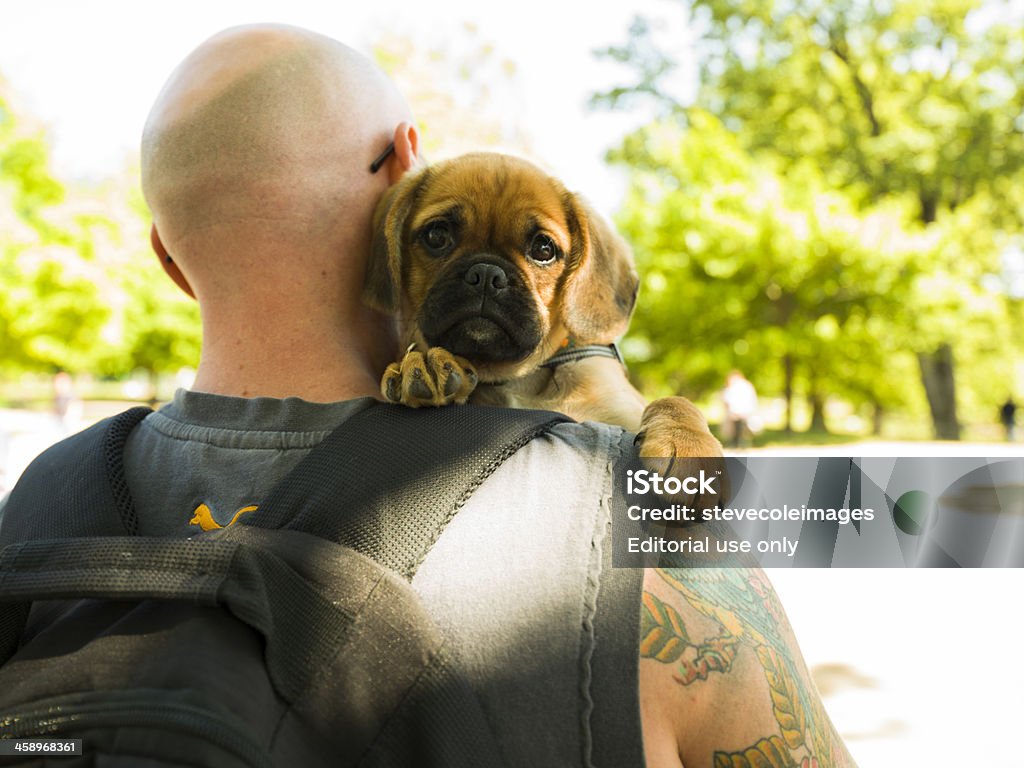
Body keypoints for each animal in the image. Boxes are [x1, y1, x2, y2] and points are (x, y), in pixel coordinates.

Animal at [364, 149, 724, 462]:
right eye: (436, 235)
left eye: (543, 249)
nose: (486, 274)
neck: (516, 379)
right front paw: (423, 363)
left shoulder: (621, 409)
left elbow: (673, 401)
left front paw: (688, 443)